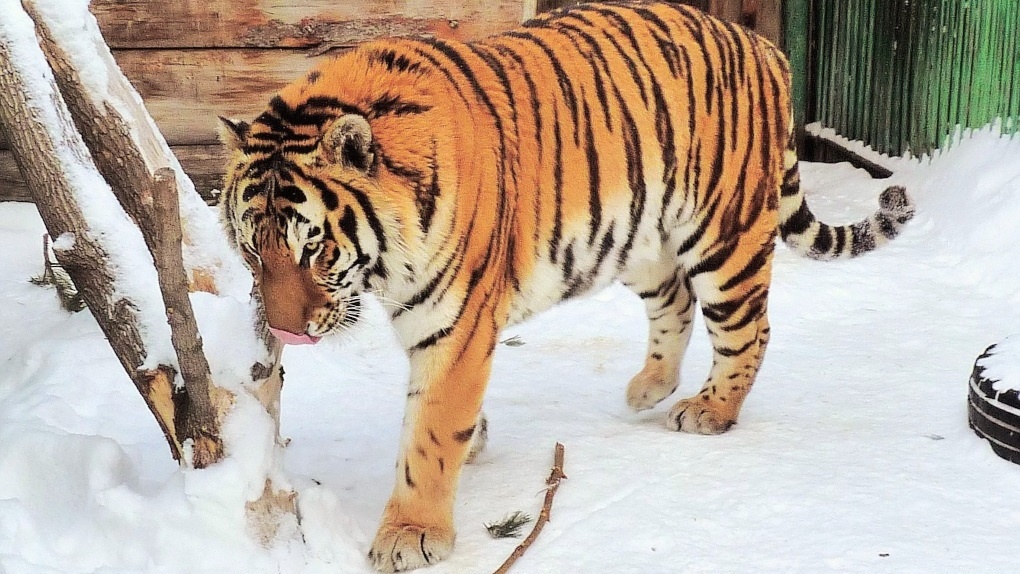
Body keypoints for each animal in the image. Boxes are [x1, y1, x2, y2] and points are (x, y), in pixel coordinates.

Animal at [217, 0, 918, 570]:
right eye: (252, 249)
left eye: (314, 248)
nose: (282, 330)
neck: (384, 266)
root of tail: (761, 45)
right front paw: (473, 445)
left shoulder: (455, 319)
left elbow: (432, 428)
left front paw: (410, 534)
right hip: (639, 235)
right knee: (676, 299)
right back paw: (650, 387)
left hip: (726, 234)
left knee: (749, 327)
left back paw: (710, 410)